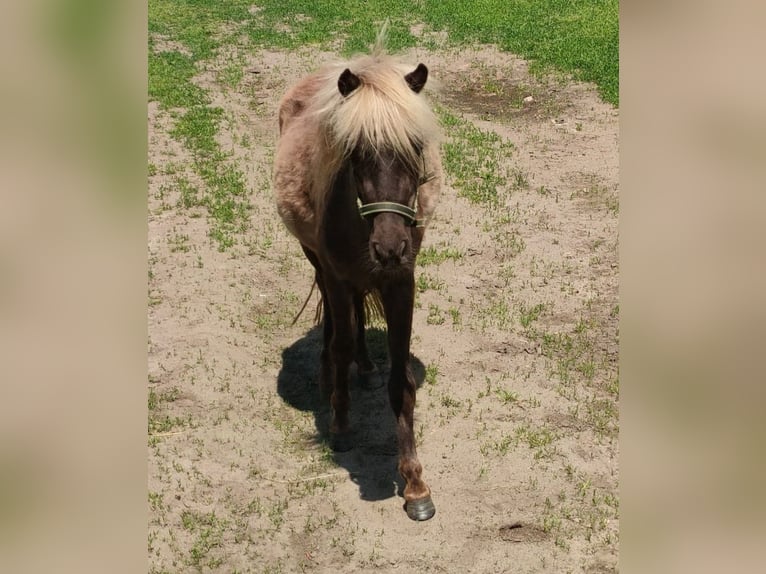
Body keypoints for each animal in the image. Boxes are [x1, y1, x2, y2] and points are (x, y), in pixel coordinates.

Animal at [274, 38, 444, 520]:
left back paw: (365, 367)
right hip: (316, 261)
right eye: (356, 153)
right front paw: (341, 425)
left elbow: (400, 381)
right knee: (337, 321)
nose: (389, 247)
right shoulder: (335, 275)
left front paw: (415, 484)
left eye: (415, 147)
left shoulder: (402, 283)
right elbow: (342, 342)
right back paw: (329, 373)